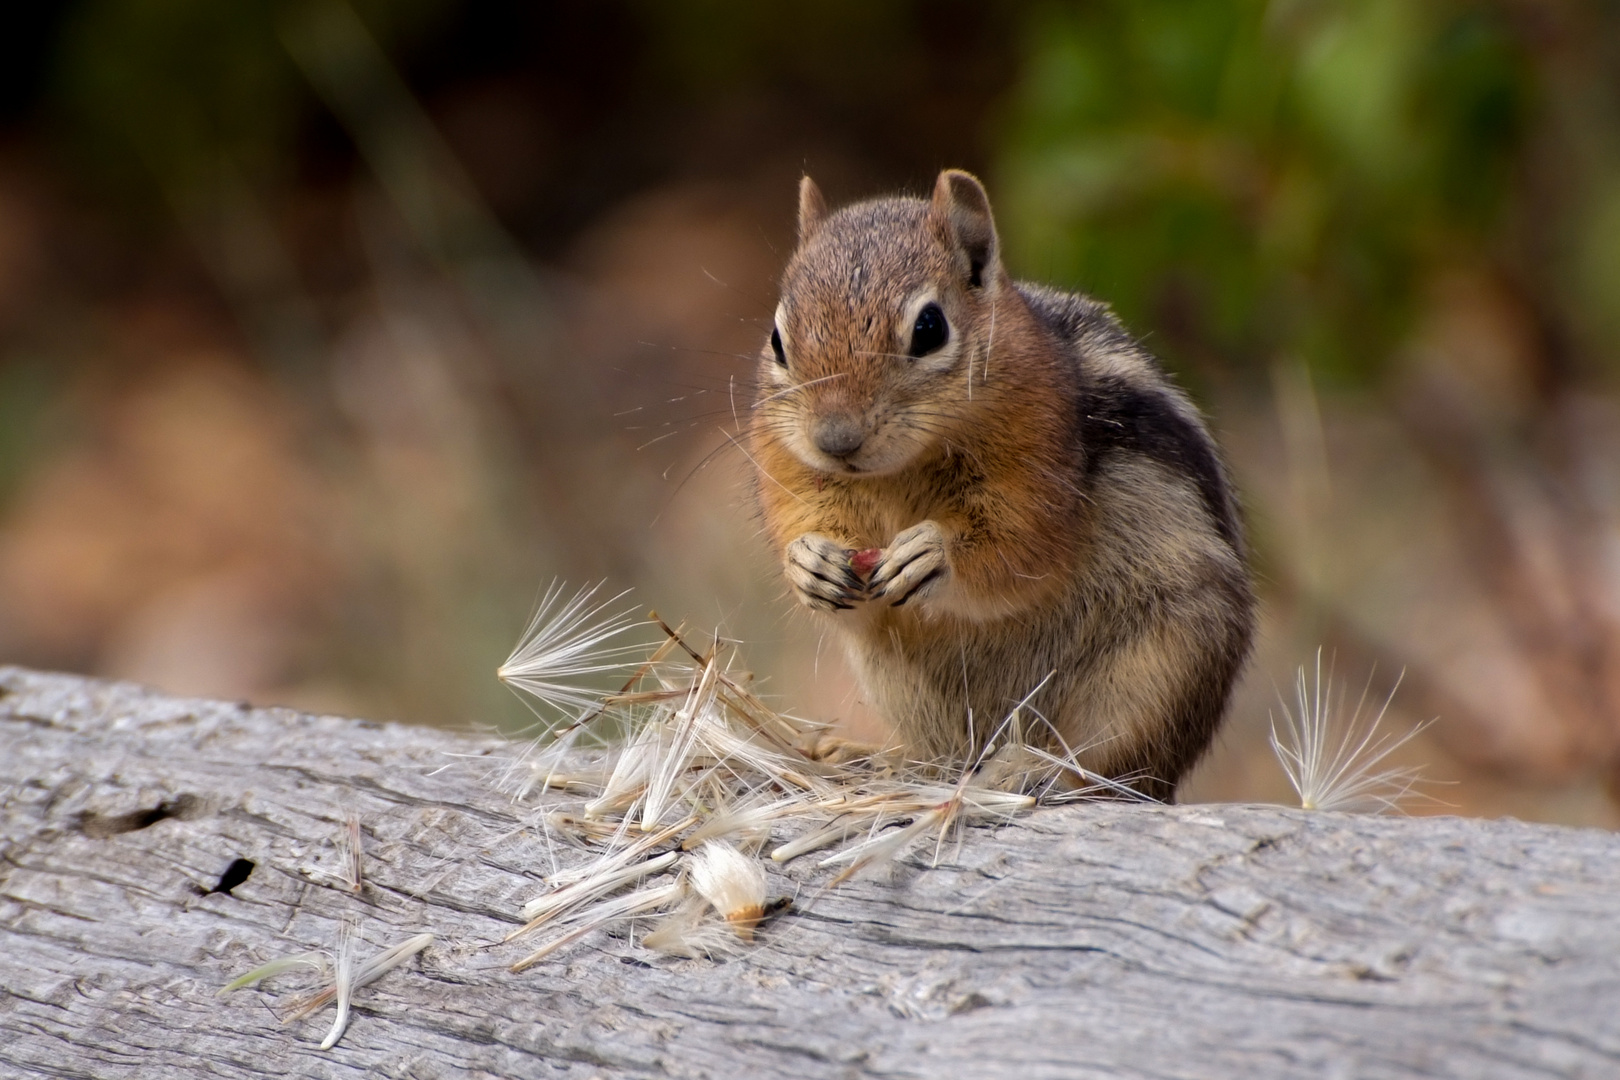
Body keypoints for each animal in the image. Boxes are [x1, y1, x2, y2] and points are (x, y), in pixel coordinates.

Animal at [745, 166, 1250, 793]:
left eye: (929, 328)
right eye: (777, 339)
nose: (835, 441)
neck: (899, 470)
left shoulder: (1041, 472)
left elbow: (1018, 552)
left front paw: (933, 553)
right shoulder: (789, 469)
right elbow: (810, 537)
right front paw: (809, 560)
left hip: (1163, 668)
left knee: (1118, 767)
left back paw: (1032, 769)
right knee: (941, 755)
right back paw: (880, 757)